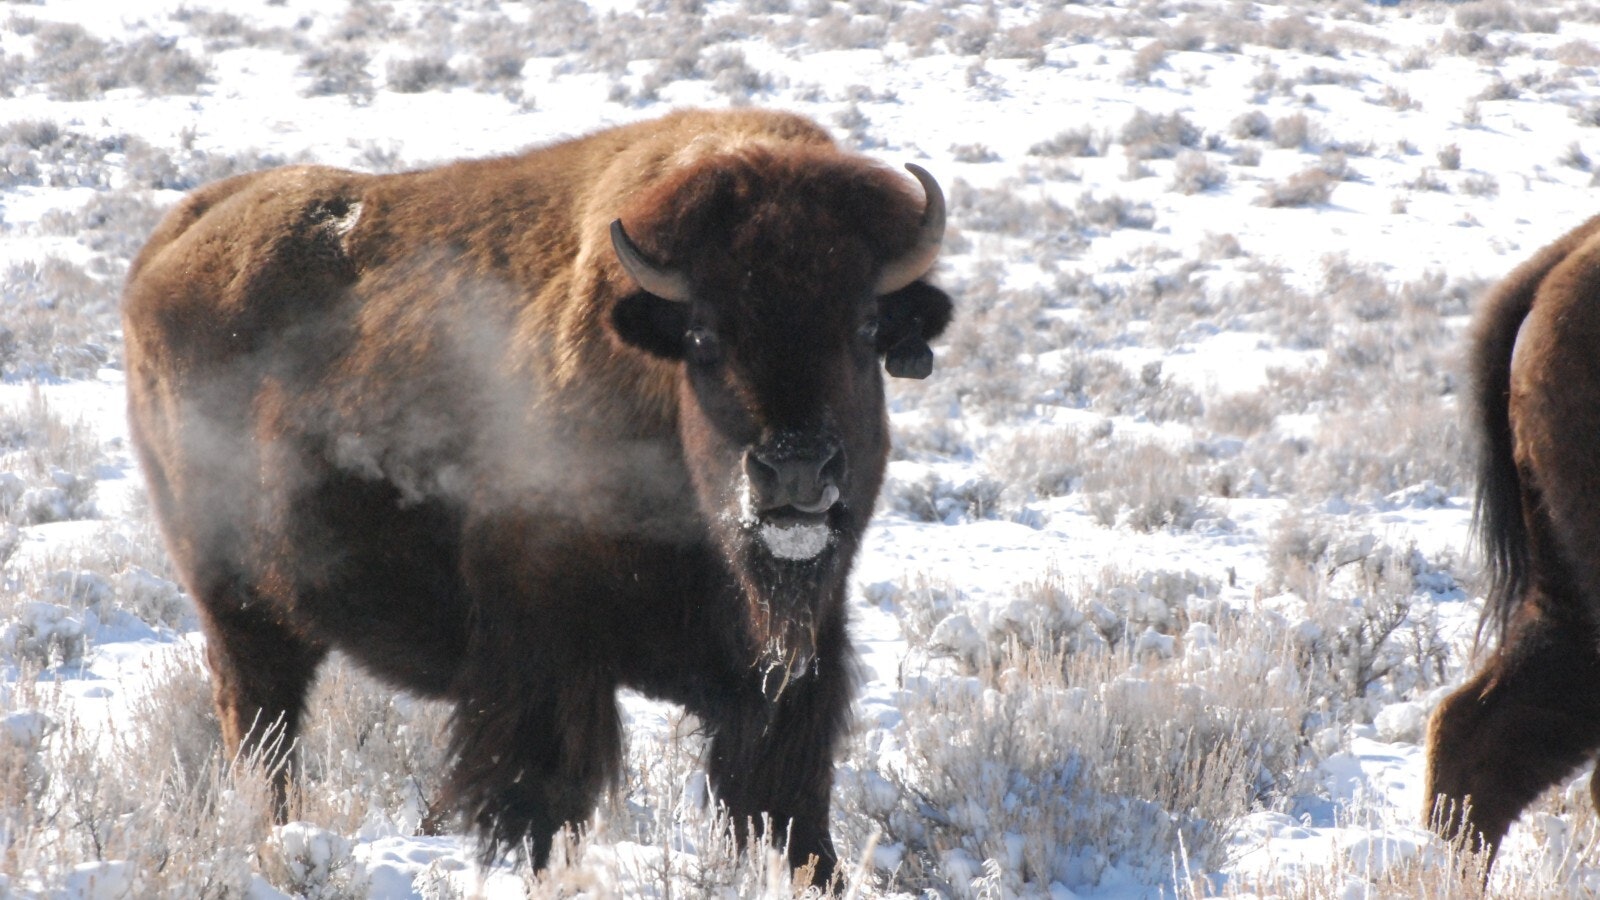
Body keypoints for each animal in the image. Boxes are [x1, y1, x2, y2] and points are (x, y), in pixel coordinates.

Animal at [122, 108, 953, 884]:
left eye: (866, 325)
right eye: (704, 335)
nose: (796, 471)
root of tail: (171, 245)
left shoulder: (791, 665)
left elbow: (787, 804)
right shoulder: (548, 655)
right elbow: (543, 794)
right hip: (239, 608)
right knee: (264, 733)